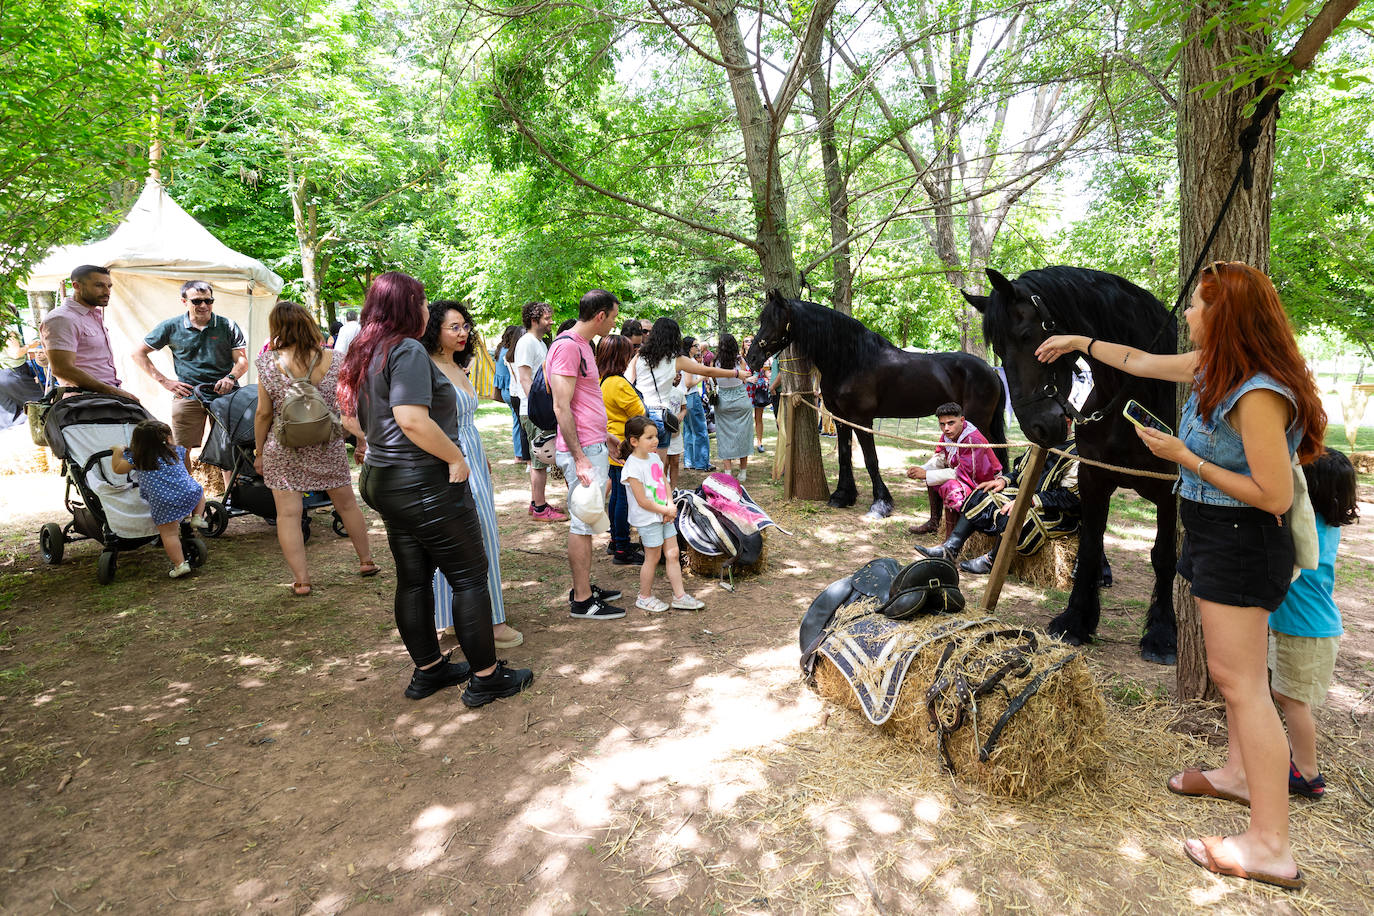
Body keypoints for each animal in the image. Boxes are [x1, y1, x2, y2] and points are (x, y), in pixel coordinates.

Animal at [747, 289, 1005, 519]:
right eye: (763, 318)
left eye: (775, 320)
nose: (751, 358)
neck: (851, 360)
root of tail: (991, 371)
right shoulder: (841, 419)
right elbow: (844, 455)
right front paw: (843, 496)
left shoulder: (862, 420)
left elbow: (871, 460)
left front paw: (880, 503)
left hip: (976, 422)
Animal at [967, 266, 1181, 667]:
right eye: (999, 350)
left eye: (1026, 336)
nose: (1037, 428)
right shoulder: (1093, 478)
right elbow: (1091, 547)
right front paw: (1077, 619)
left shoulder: (1169, 490)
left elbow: (1163, 557)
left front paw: (1162, 634)